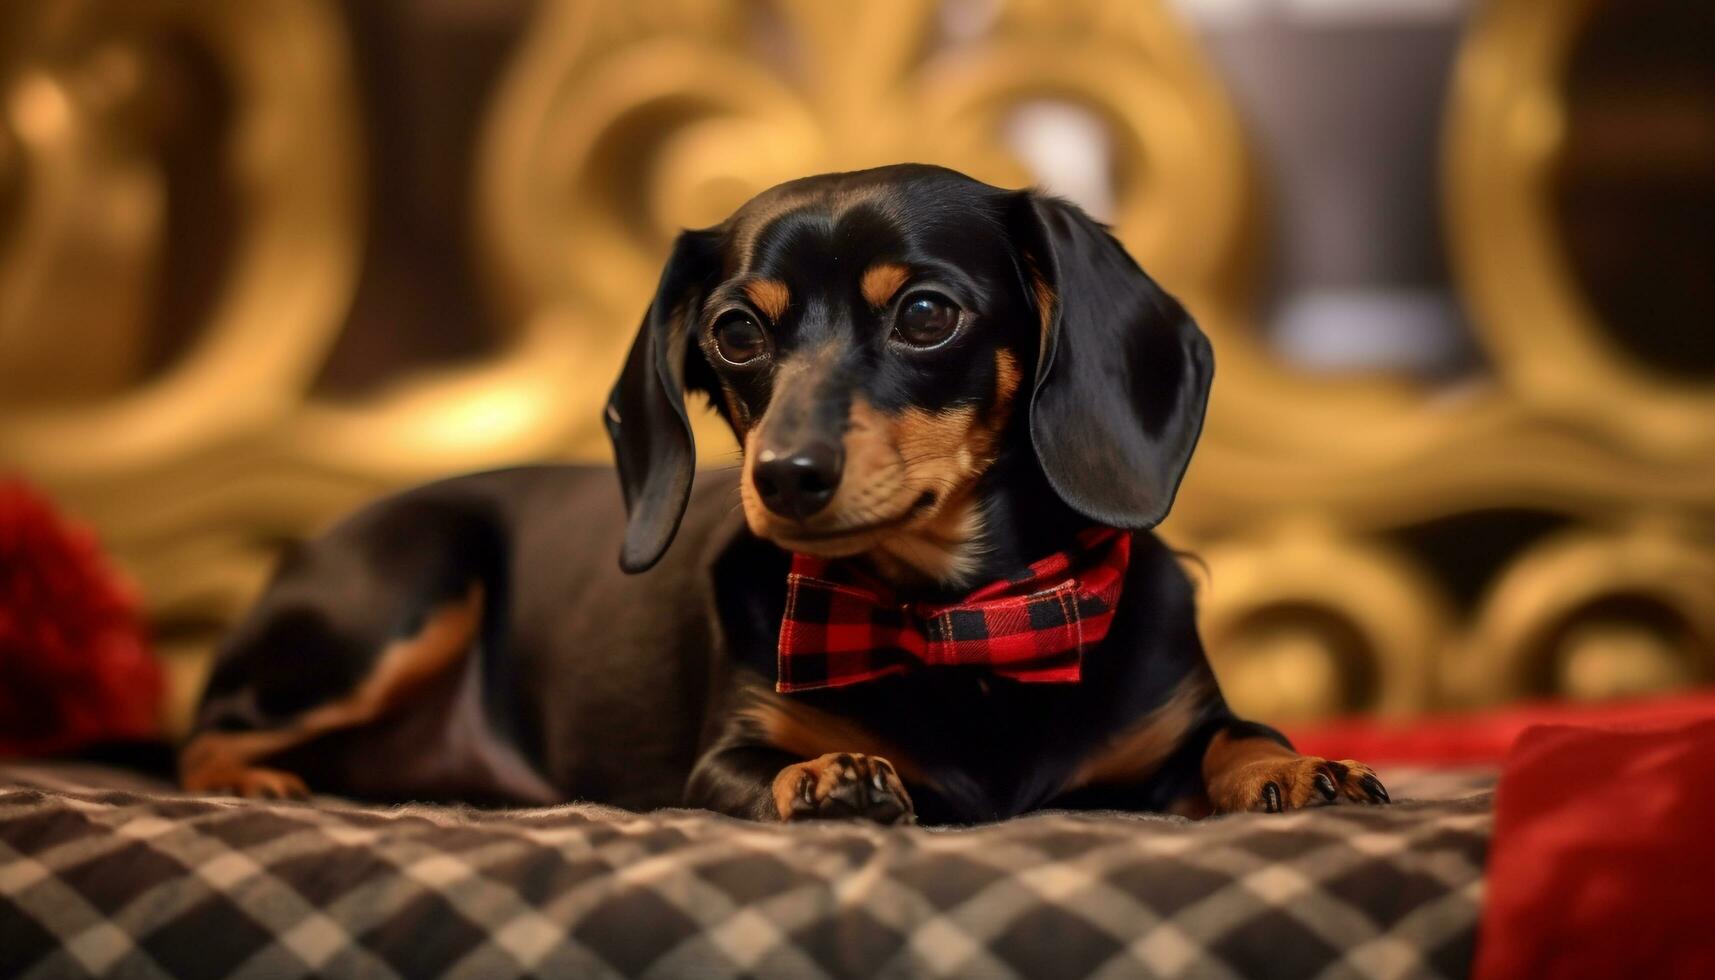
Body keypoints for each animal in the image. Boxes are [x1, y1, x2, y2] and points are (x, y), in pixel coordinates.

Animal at [180, 164, 1385, 823]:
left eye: (926, 314)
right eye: (734, 331)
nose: (783, 478)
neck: (960, 621)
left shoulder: (1174, 730)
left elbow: (1236, 738)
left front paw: (1297, 768)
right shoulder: (719, 759)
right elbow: (774, 762)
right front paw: (829, 774)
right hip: (405, 591)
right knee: (203, 733)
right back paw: (258, 784)